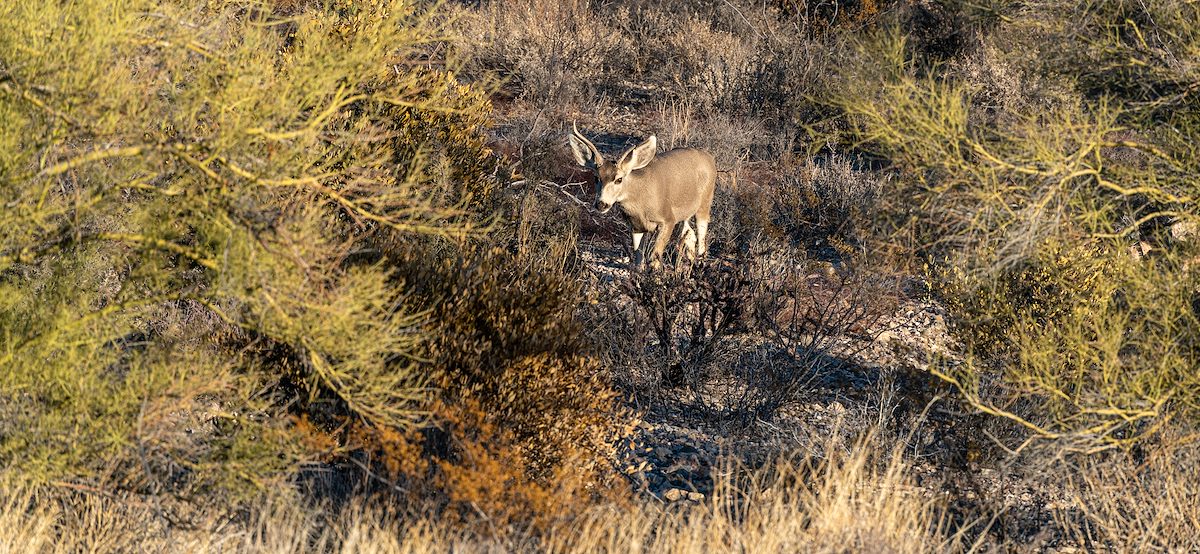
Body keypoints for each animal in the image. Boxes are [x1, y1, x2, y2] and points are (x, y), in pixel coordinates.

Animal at [568, 122, 715, 269]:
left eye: (619, 179)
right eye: (596, 178)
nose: (601, 204)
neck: (640, 202)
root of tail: (709, 158)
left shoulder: (668, 219)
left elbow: (654, 258)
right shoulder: (635, 226)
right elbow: (639, 258)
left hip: (705, 201)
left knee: (701, 234)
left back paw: (700, 264)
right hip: (686, 211)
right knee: (689, 233)